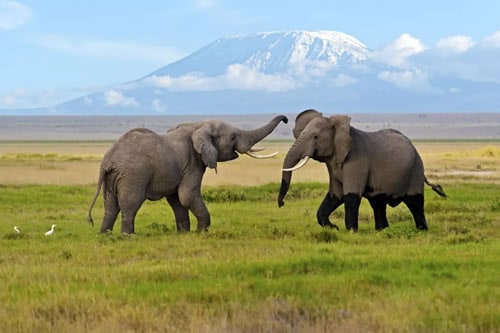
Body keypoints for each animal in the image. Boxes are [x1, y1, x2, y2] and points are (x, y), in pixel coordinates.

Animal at [88, 114, 288, 233]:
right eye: (232, 137)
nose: (286, 119)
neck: (197, 125)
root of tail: (108, 161)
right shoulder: (193, 163)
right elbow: (187, 195)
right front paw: (202, 232)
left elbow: (176, 199)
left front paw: (184, 234)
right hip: (133, 176)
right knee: (130, 203)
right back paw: (127, 236)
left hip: (113, 177)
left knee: (110, 205)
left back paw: (105, 235)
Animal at [278, 109, 446, 231]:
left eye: (315, 137)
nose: (282, 204)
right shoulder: (333, 163)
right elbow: (336, 195)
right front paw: (334, 228)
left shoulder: (357, 160)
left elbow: (351, 195)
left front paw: (351, 231)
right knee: (378, 202)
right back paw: (382, 230)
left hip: (415, 169)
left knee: (415, 202)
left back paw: (422, 230)